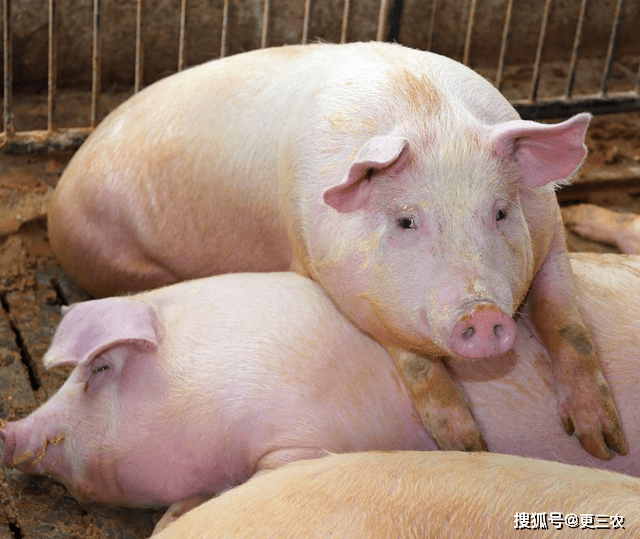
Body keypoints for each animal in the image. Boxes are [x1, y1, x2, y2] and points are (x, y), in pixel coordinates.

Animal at [48, 41, 624, 460]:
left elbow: (567, 324)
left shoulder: (550, 233)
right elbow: (414, 362)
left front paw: (604, 443)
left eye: (501, 211)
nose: (481, 314)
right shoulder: (330, 274)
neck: (426, 110)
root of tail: (59, 196)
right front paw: (468, 448)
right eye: (406, 221)